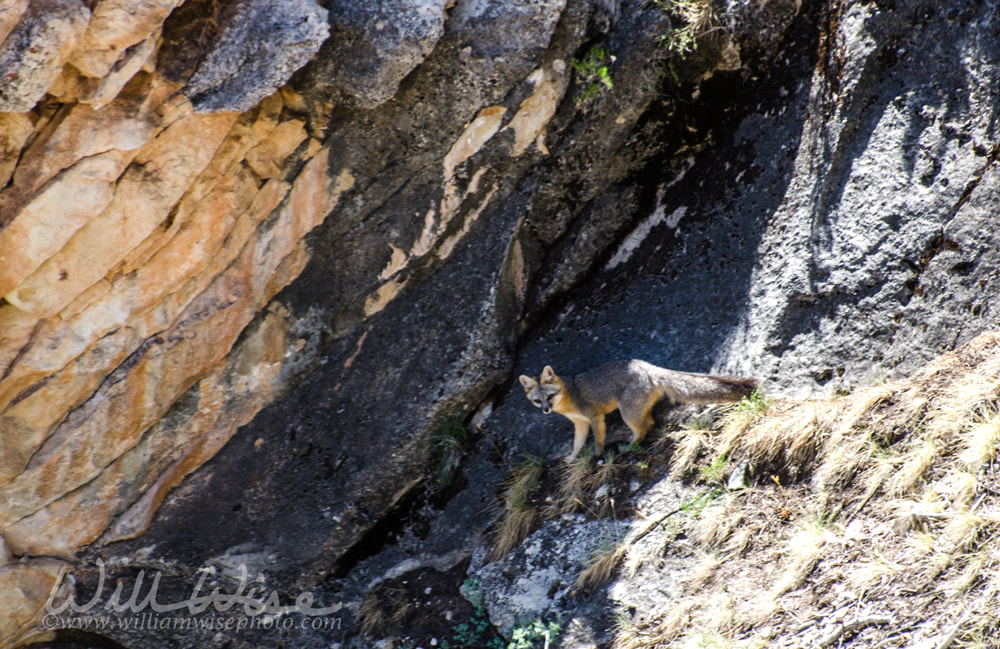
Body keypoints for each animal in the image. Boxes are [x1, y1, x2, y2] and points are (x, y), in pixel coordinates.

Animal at [524, 360, 756, 456]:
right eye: (538, 401)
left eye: (550, 396)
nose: (546, 410)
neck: (569, 397)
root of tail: (647, 367)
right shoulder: (579, 423)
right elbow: (577, 444)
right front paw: (572, 458)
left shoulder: (595, 417)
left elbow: (597, 439)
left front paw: (597, 454)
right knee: (650, 422)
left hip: (627, 413)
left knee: (645, 427)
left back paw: (632, 445)